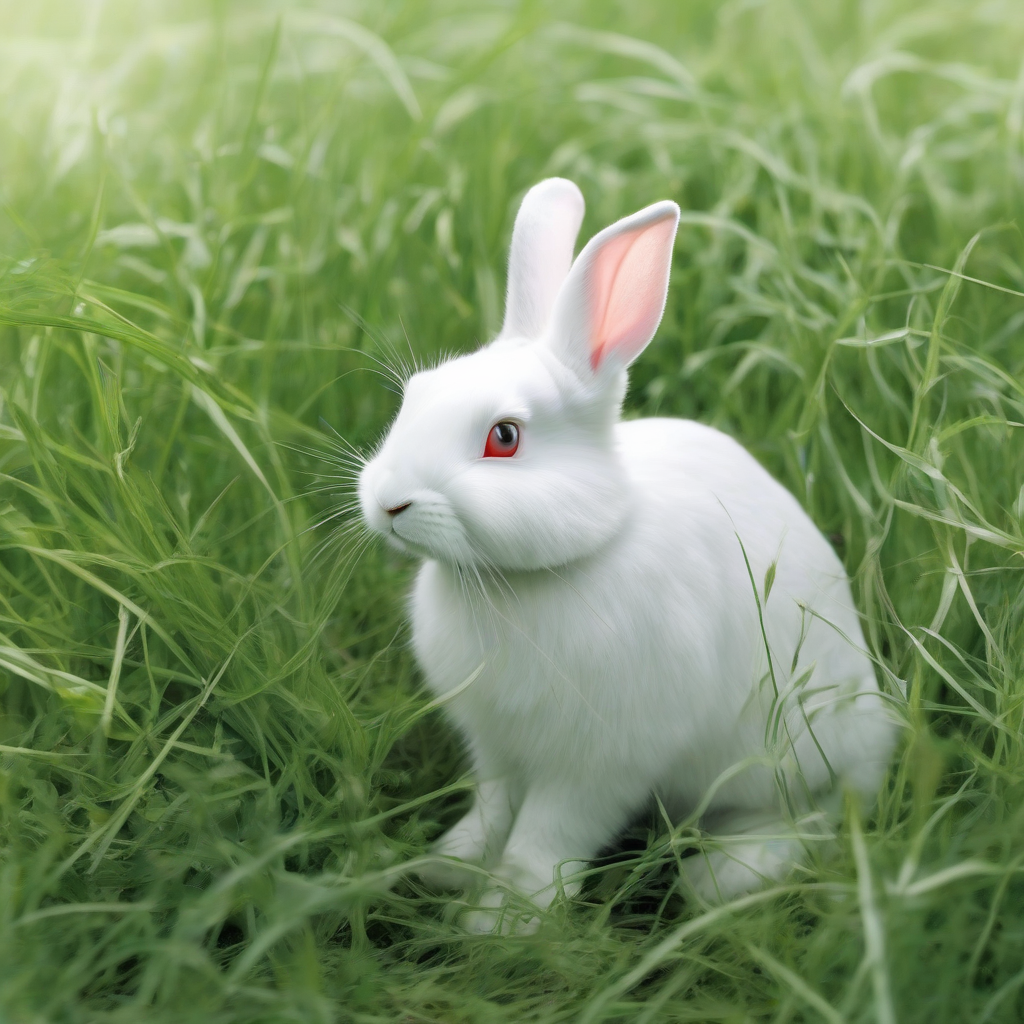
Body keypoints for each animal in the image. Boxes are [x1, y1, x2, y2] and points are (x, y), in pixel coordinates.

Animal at [360, 180, 897, 933]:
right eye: (416, 396)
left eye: (504, 437)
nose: (388, 502)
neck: (537, 574)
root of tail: (880, 734)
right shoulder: (497, 748)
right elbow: (492, 813)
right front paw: (444, 867)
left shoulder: (600, 763)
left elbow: (545, 839)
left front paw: (503, 923)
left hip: (792, 759)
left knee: (815, 817)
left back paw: (720, 877)